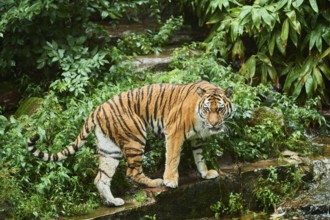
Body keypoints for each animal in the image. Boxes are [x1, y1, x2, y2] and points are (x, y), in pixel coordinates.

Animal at [29, 80, 235, 206]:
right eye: (207, 109)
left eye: (220, 109)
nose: (214, 124)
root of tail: (98, 109)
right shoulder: (174, 132)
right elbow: (173, 157)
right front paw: (170, 180)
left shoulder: (198, 139)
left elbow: (200, 157)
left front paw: (205, 173)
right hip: (135, 138)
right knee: (132, 171)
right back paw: (155, 181)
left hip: (109, 149)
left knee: (101, 178)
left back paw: (113, 202)